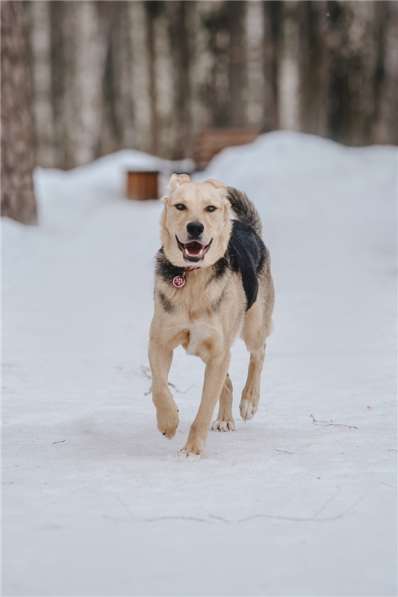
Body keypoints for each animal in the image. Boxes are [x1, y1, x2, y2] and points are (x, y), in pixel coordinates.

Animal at [148, 173, 276, 456]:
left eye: (210, 208)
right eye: (180, 206)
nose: (195, 228)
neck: (192, 277)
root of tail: (247, 226)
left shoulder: (217, 352)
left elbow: (204, 408)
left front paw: (192, 450)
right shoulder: (160, 343)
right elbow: (159, 387)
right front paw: (168, 422)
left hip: (253, 326)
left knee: (259, 353)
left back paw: (249, 401)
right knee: (227, 382)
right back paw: (225, 419)